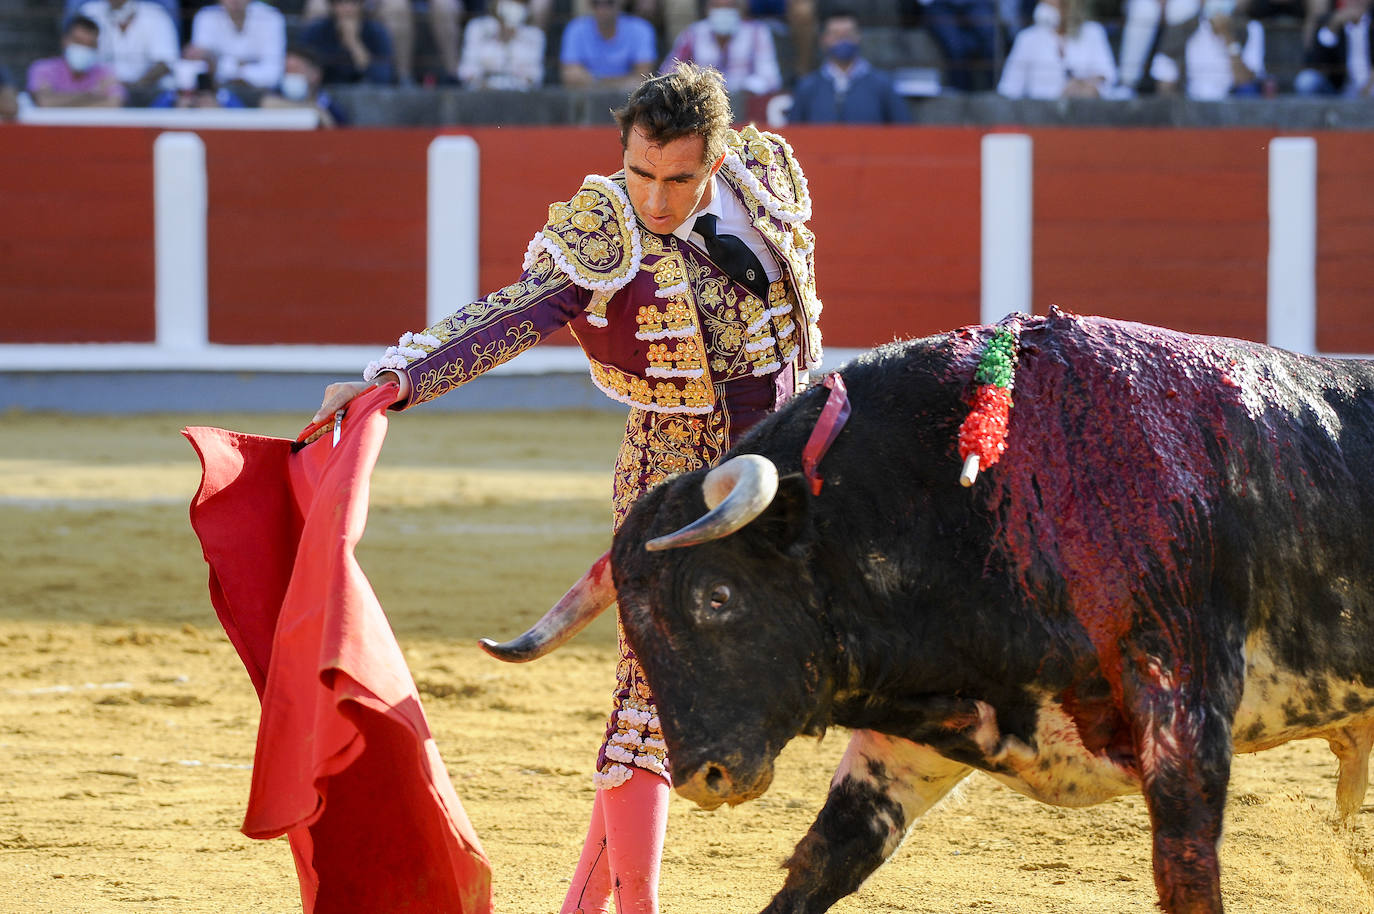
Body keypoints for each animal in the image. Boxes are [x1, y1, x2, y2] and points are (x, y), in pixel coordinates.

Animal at [480, 310, 1374, 907]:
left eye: (717, 594)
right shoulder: (917, 740)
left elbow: (1187, 869)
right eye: (632, 626)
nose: (706, 777)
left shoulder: (1183, 704)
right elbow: (826, 859)